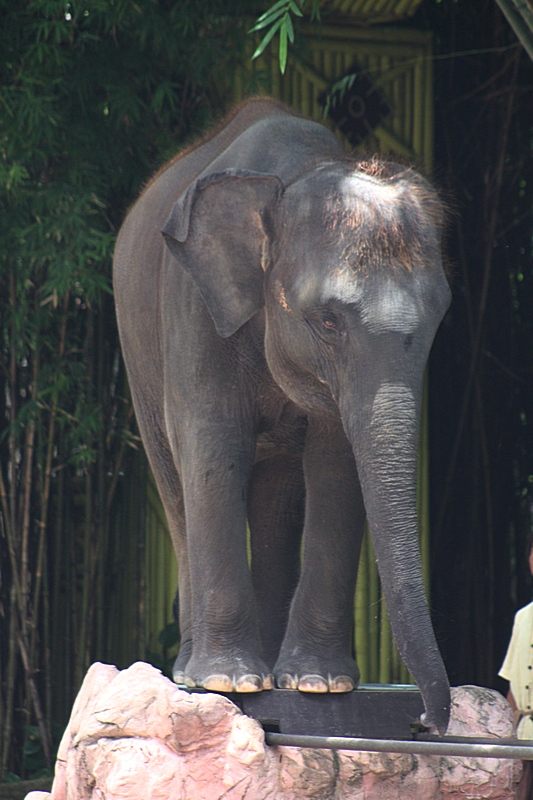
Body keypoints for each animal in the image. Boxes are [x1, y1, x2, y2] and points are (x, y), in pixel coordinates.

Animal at [113, 97, 452, 734]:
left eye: (440, 318)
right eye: (328, 321)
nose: (427, 722)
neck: (298, 175)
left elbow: (336, 461)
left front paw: (319, 685)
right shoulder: (193, 306)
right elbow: (213, 446)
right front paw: (228, 683)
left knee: (276, 499)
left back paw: (273, 672)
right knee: (176, 486)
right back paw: (199, 671)